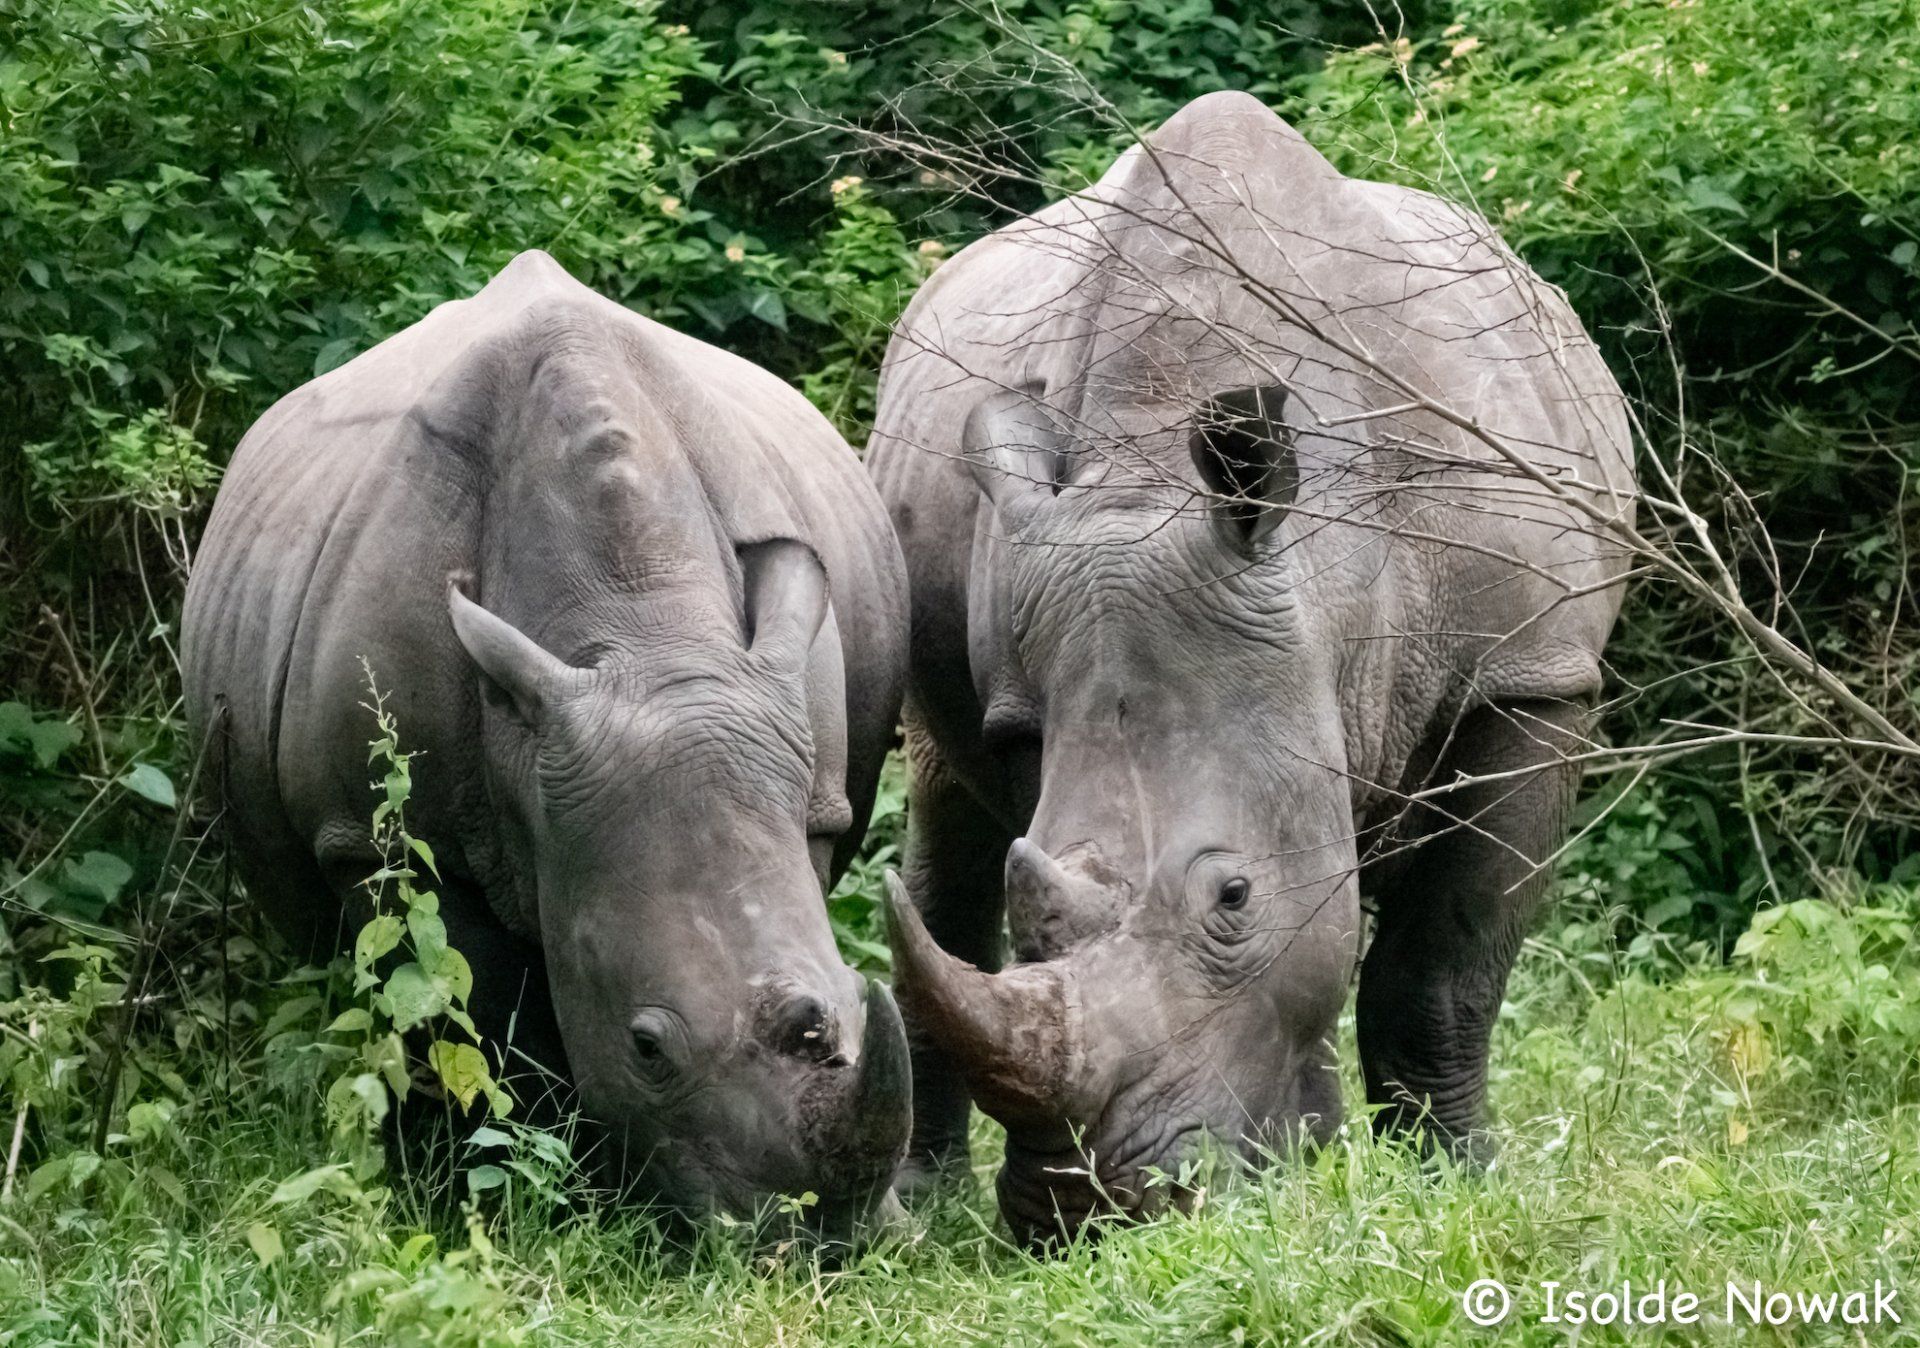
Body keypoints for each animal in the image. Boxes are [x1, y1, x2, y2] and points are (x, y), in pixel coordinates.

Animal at [183, 250, 911, 1231]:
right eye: (647, 1047)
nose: (826, 1238)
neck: (646, 632)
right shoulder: (382, 839)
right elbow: (479, 1015)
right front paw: (525, 1199)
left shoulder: (815, 795)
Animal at [866, 93, 1637, 1244]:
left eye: (1234, 897)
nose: (1083, 1212)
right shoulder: (1031, 699)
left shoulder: (1531, 678)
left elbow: (1442, 964)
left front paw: (1455, 1179)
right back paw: (921, 1210)